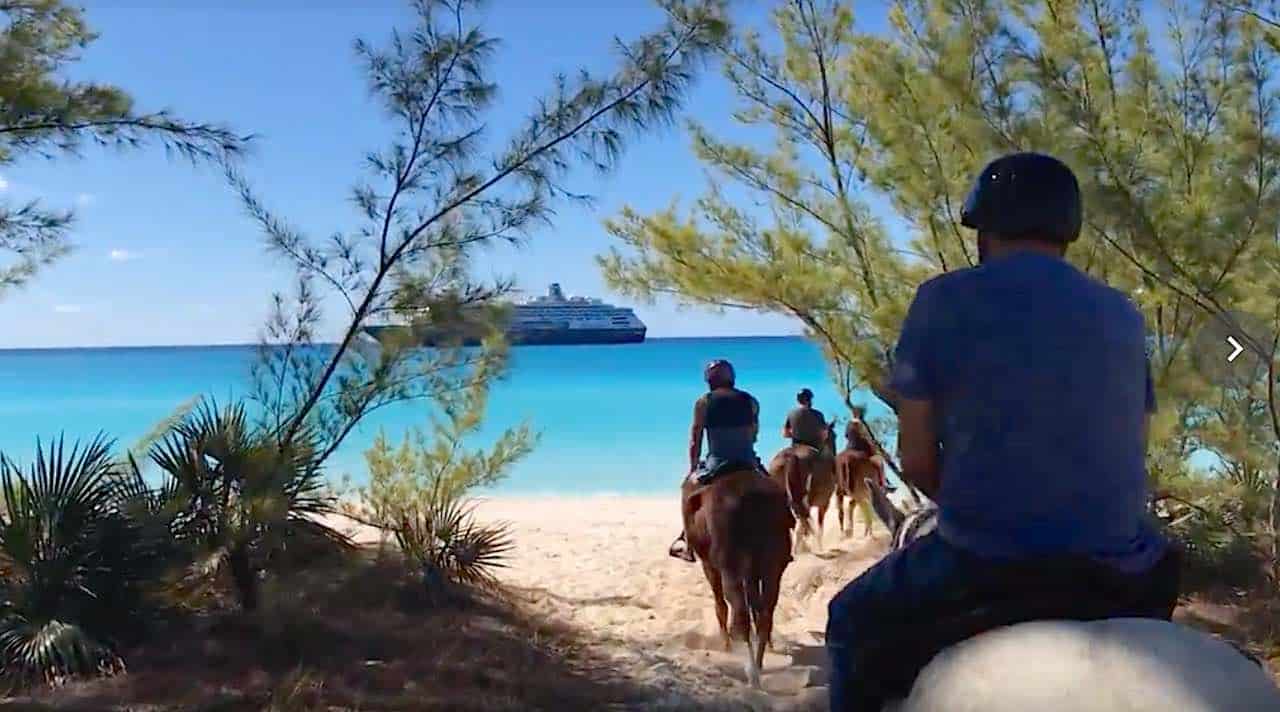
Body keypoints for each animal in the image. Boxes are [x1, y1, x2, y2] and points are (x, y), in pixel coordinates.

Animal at [686, 463, 793, 686]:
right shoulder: (753, 573)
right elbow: (756, 606)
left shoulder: (710, 566)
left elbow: (721, 606)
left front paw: (726, 645)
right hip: (772, 567)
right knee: (765, 612)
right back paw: (759, 663)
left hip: (730, 568)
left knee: (740, 612)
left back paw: (751, 670)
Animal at [768, 420, 839, 553]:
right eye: (834, 435)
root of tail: (791, 456)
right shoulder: (824, 503)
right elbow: (819, 524)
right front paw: (819, 545)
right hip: (805, 498)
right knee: (802, 521)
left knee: (798, 521)